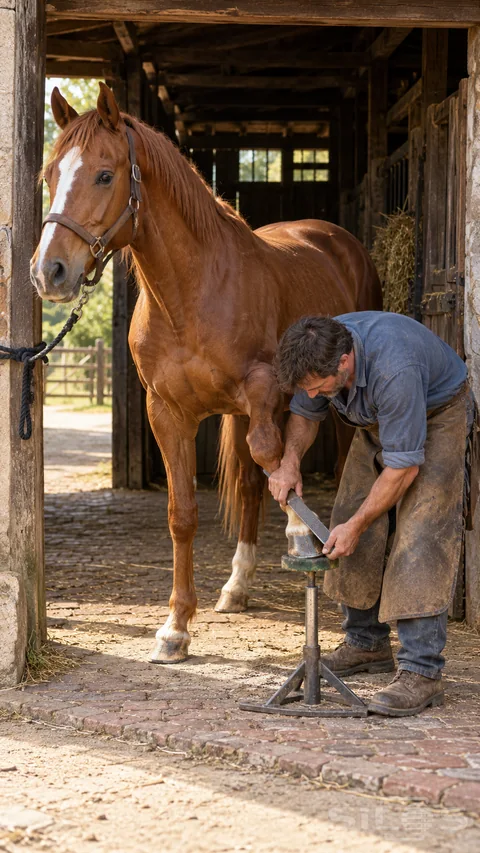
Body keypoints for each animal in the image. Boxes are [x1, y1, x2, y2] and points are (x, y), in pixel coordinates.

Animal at [31, 82, 382, 664]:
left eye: (103, 175)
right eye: (50, 174)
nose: (49, 272)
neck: (190, 295)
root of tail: (336, 239)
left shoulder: (261, 391)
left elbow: (273, 460)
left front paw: (303, 536)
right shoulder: (168, 412)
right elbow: (185, 513)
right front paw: (175, 628)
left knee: (318, 459)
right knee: (249, 482)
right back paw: (238, 586)